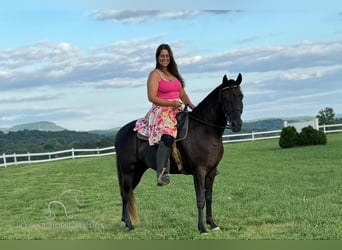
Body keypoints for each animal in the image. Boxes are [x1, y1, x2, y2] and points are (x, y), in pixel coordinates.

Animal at [115, 73, 243, 233]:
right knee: (126, 194)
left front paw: (212, 224)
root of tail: (120, 133)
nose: (237, 124)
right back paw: (130, 225)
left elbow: (209, 197)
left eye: (240, 96)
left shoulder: (211, 172)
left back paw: (125, 221)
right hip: (128, 171)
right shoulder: (199, 172)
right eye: (225, 97)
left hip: (137, 171)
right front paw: (202, 228)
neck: (205, 130)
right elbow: (200, 200)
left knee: (126, 193)